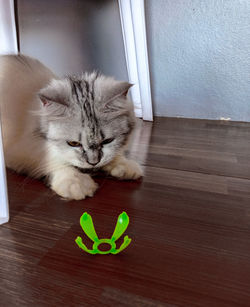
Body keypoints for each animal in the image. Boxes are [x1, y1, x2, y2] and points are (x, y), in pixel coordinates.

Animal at [0, 54, 143, 200]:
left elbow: (115, 155)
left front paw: (124, 164)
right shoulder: (22, 147)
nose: (93, 162)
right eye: (73, 143)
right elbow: (55, 160)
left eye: (107, 141)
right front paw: (76, 182)